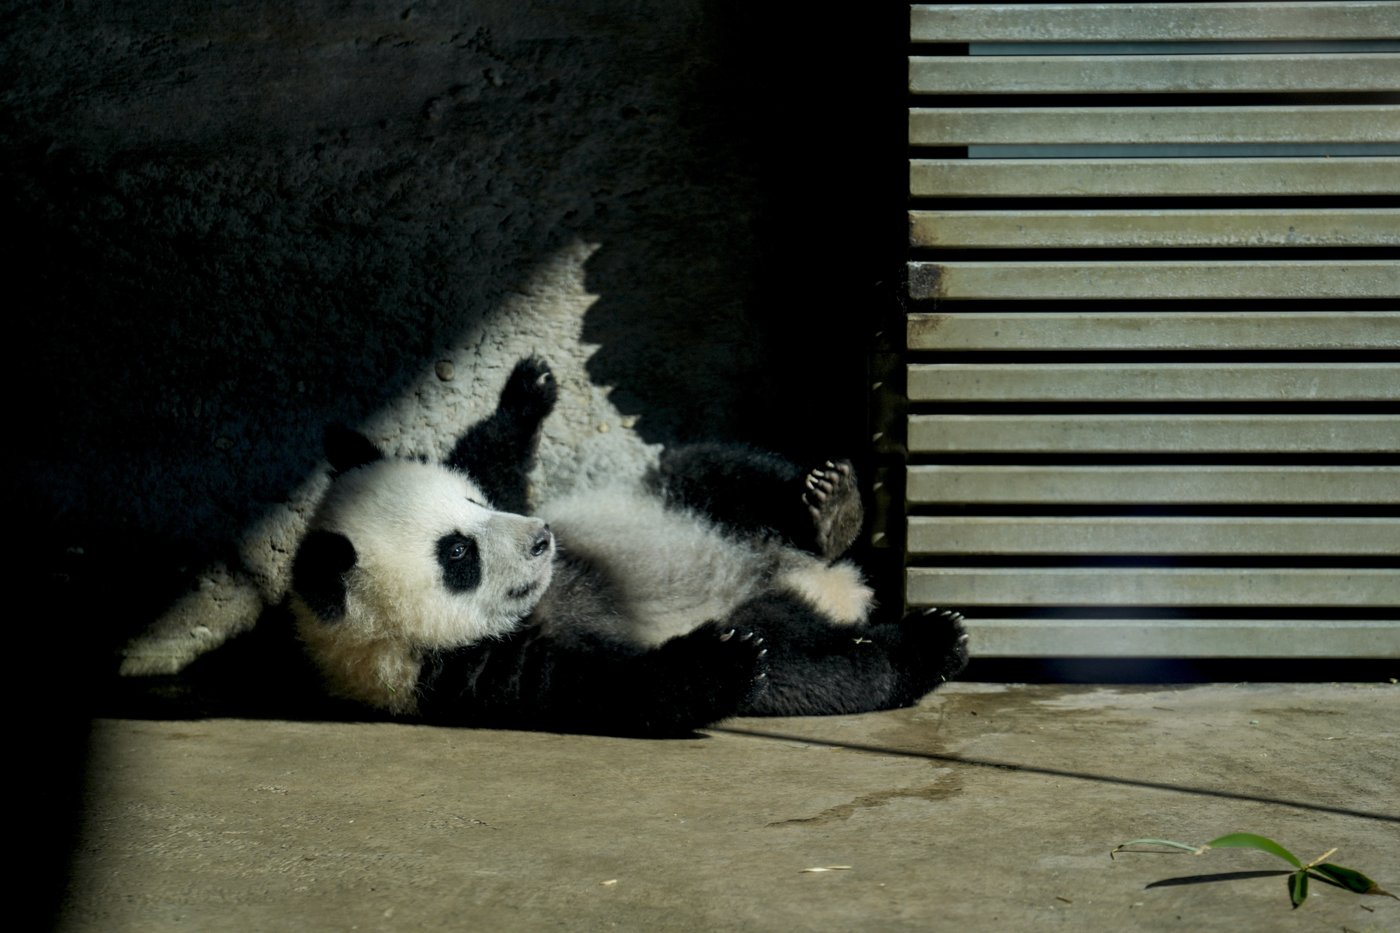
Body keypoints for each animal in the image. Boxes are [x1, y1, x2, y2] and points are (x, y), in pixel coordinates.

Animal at [288, 356, 969, 736]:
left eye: (474, 504)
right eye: (458, 554)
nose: (542, 539)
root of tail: (825, 585)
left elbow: (494, 460)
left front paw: (527, 392)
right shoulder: (461, 671)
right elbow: (612, 688)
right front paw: (718, 662)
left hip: (671, 497)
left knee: (716, 471)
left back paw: (832, 511)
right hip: (771, 619)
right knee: (811, 666)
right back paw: (927, 642)